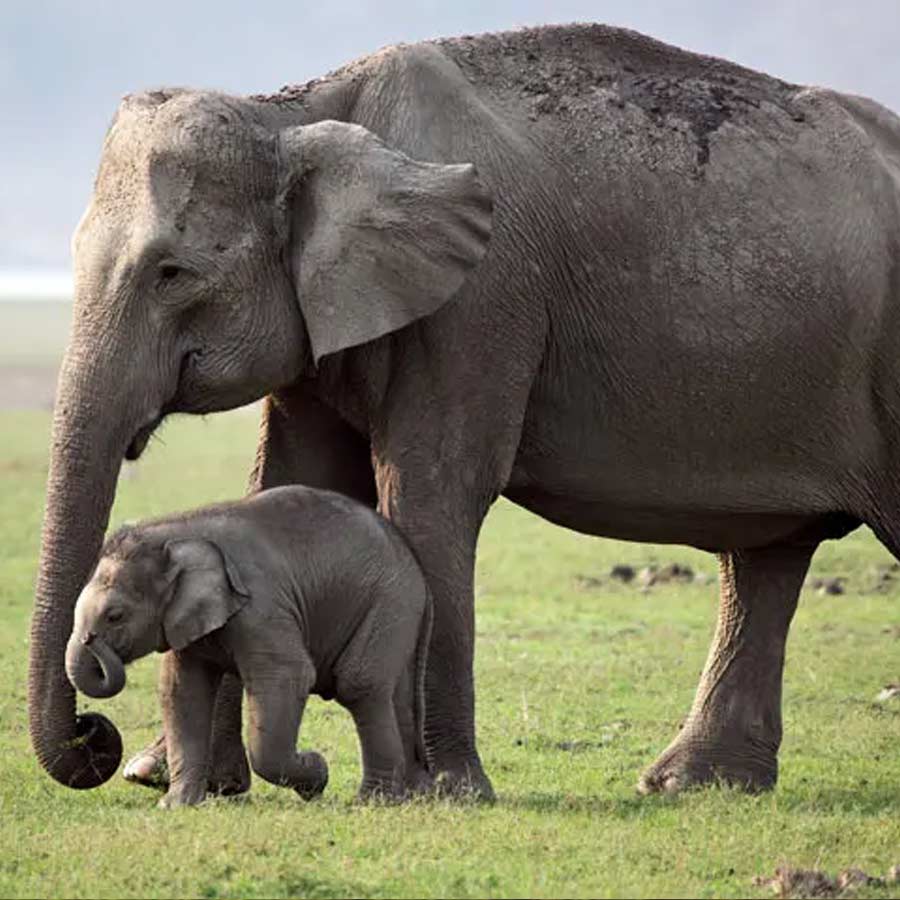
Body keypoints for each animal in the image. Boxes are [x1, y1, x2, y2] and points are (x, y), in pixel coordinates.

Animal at [65, 485, 432, 807]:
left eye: (115, 616)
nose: (89, 640)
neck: (177, 531)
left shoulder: (261, 607)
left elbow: (290, 675)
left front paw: (316, 774)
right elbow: (183, 691)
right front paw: (176, 806)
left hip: (390, 602)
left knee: (359, 684)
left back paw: (372, 801)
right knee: (392, 695)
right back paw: (402, 797)